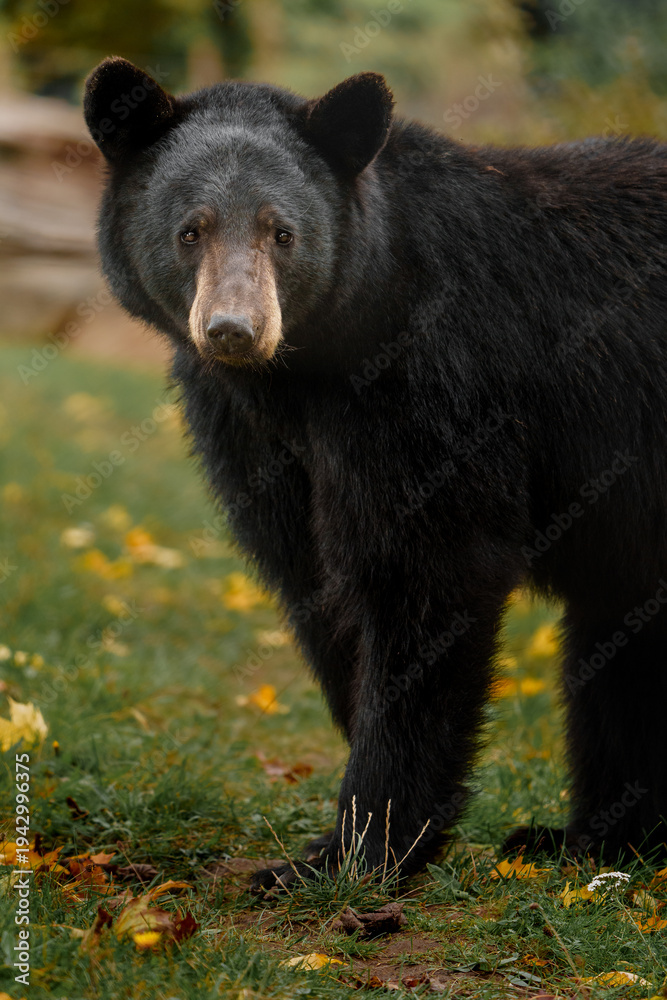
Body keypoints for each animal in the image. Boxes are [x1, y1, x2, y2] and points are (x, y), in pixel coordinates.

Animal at [83, 57, 667, 892]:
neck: (303, 374)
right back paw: (590, 838)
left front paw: (353, 852)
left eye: (282, 232)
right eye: (190, 230)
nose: (233, 331)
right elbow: (311, 576)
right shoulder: (246, 428)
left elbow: (424, 571)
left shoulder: (433, 385)